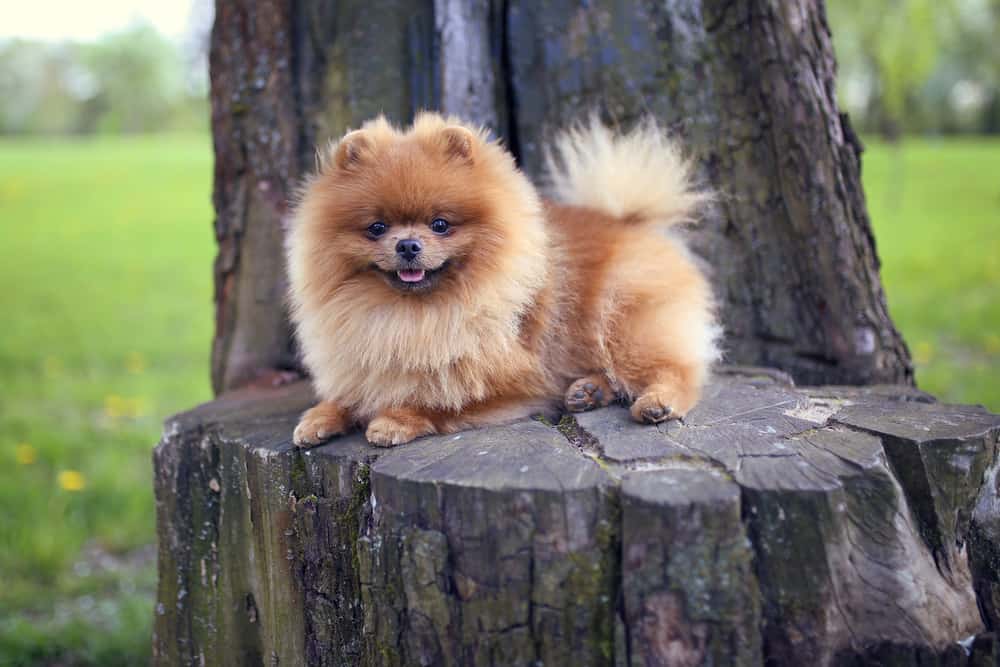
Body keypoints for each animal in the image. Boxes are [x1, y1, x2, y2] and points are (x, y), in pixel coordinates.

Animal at [288, 112, 720, 448]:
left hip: (626, 320)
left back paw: (657, 402)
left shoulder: (508, 381)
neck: (412, 315)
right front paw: (320, 417)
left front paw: (395, 419)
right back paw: (588, 390)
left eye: (440, 224)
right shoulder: (364, 356)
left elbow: (439, 398)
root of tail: (630, 221)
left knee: (678, 371)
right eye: (376, 228)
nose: (408, 245)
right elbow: (351, 392)